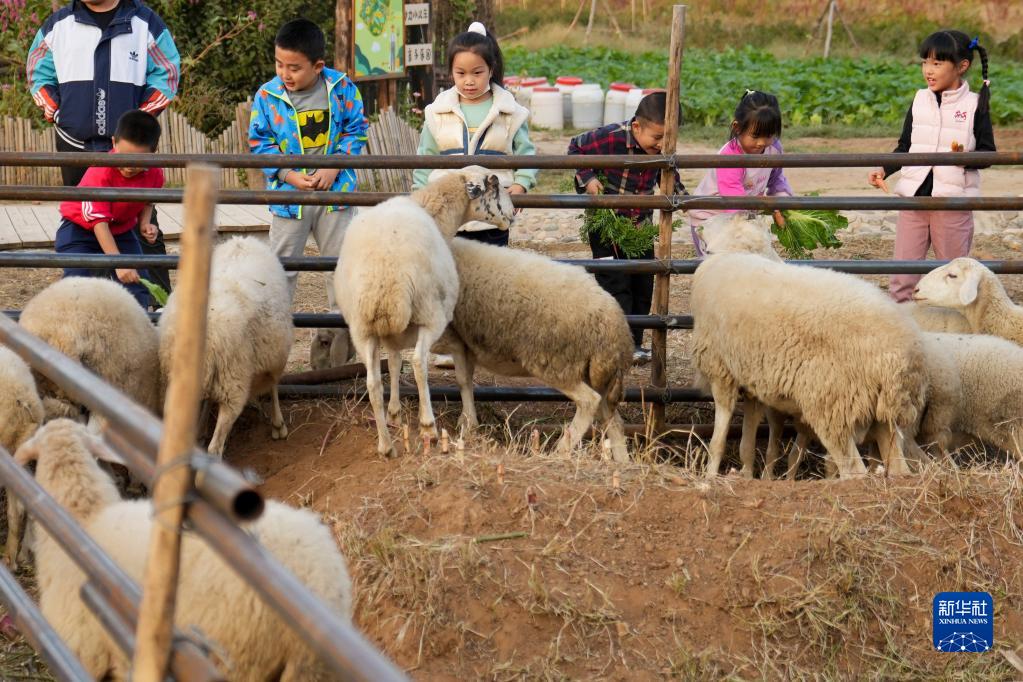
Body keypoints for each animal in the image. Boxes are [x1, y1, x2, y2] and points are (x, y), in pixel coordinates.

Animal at [157, 236, 292, 458]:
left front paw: (201, 428)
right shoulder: (275, 358)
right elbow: (273, 387)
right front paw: (278, 425)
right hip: (233, 384)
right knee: (215, 448)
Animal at [333, 169, 515, 458]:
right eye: (496, 187)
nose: (513, 213)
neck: (435, 213)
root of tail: (383, 274)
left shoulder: (391, 335)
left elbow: (394, 364)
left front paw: (394, 414)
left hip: (361, 328)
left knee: (373, 383)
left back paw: (386, 445)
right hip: (430, 316)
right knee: (419, 363)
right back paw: (428, 426)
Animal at [435, 237, 634, 462]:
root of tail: (616, 325)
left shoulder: (456, 339)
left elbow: (461, 380)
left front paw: (467, 423)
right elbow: (466, 380)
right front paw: (469, 422)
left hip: (556, 361)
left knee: (589, 401)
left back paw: (560, 450)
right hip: (597, 373)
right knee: (613, 419)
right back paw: (622, 462)